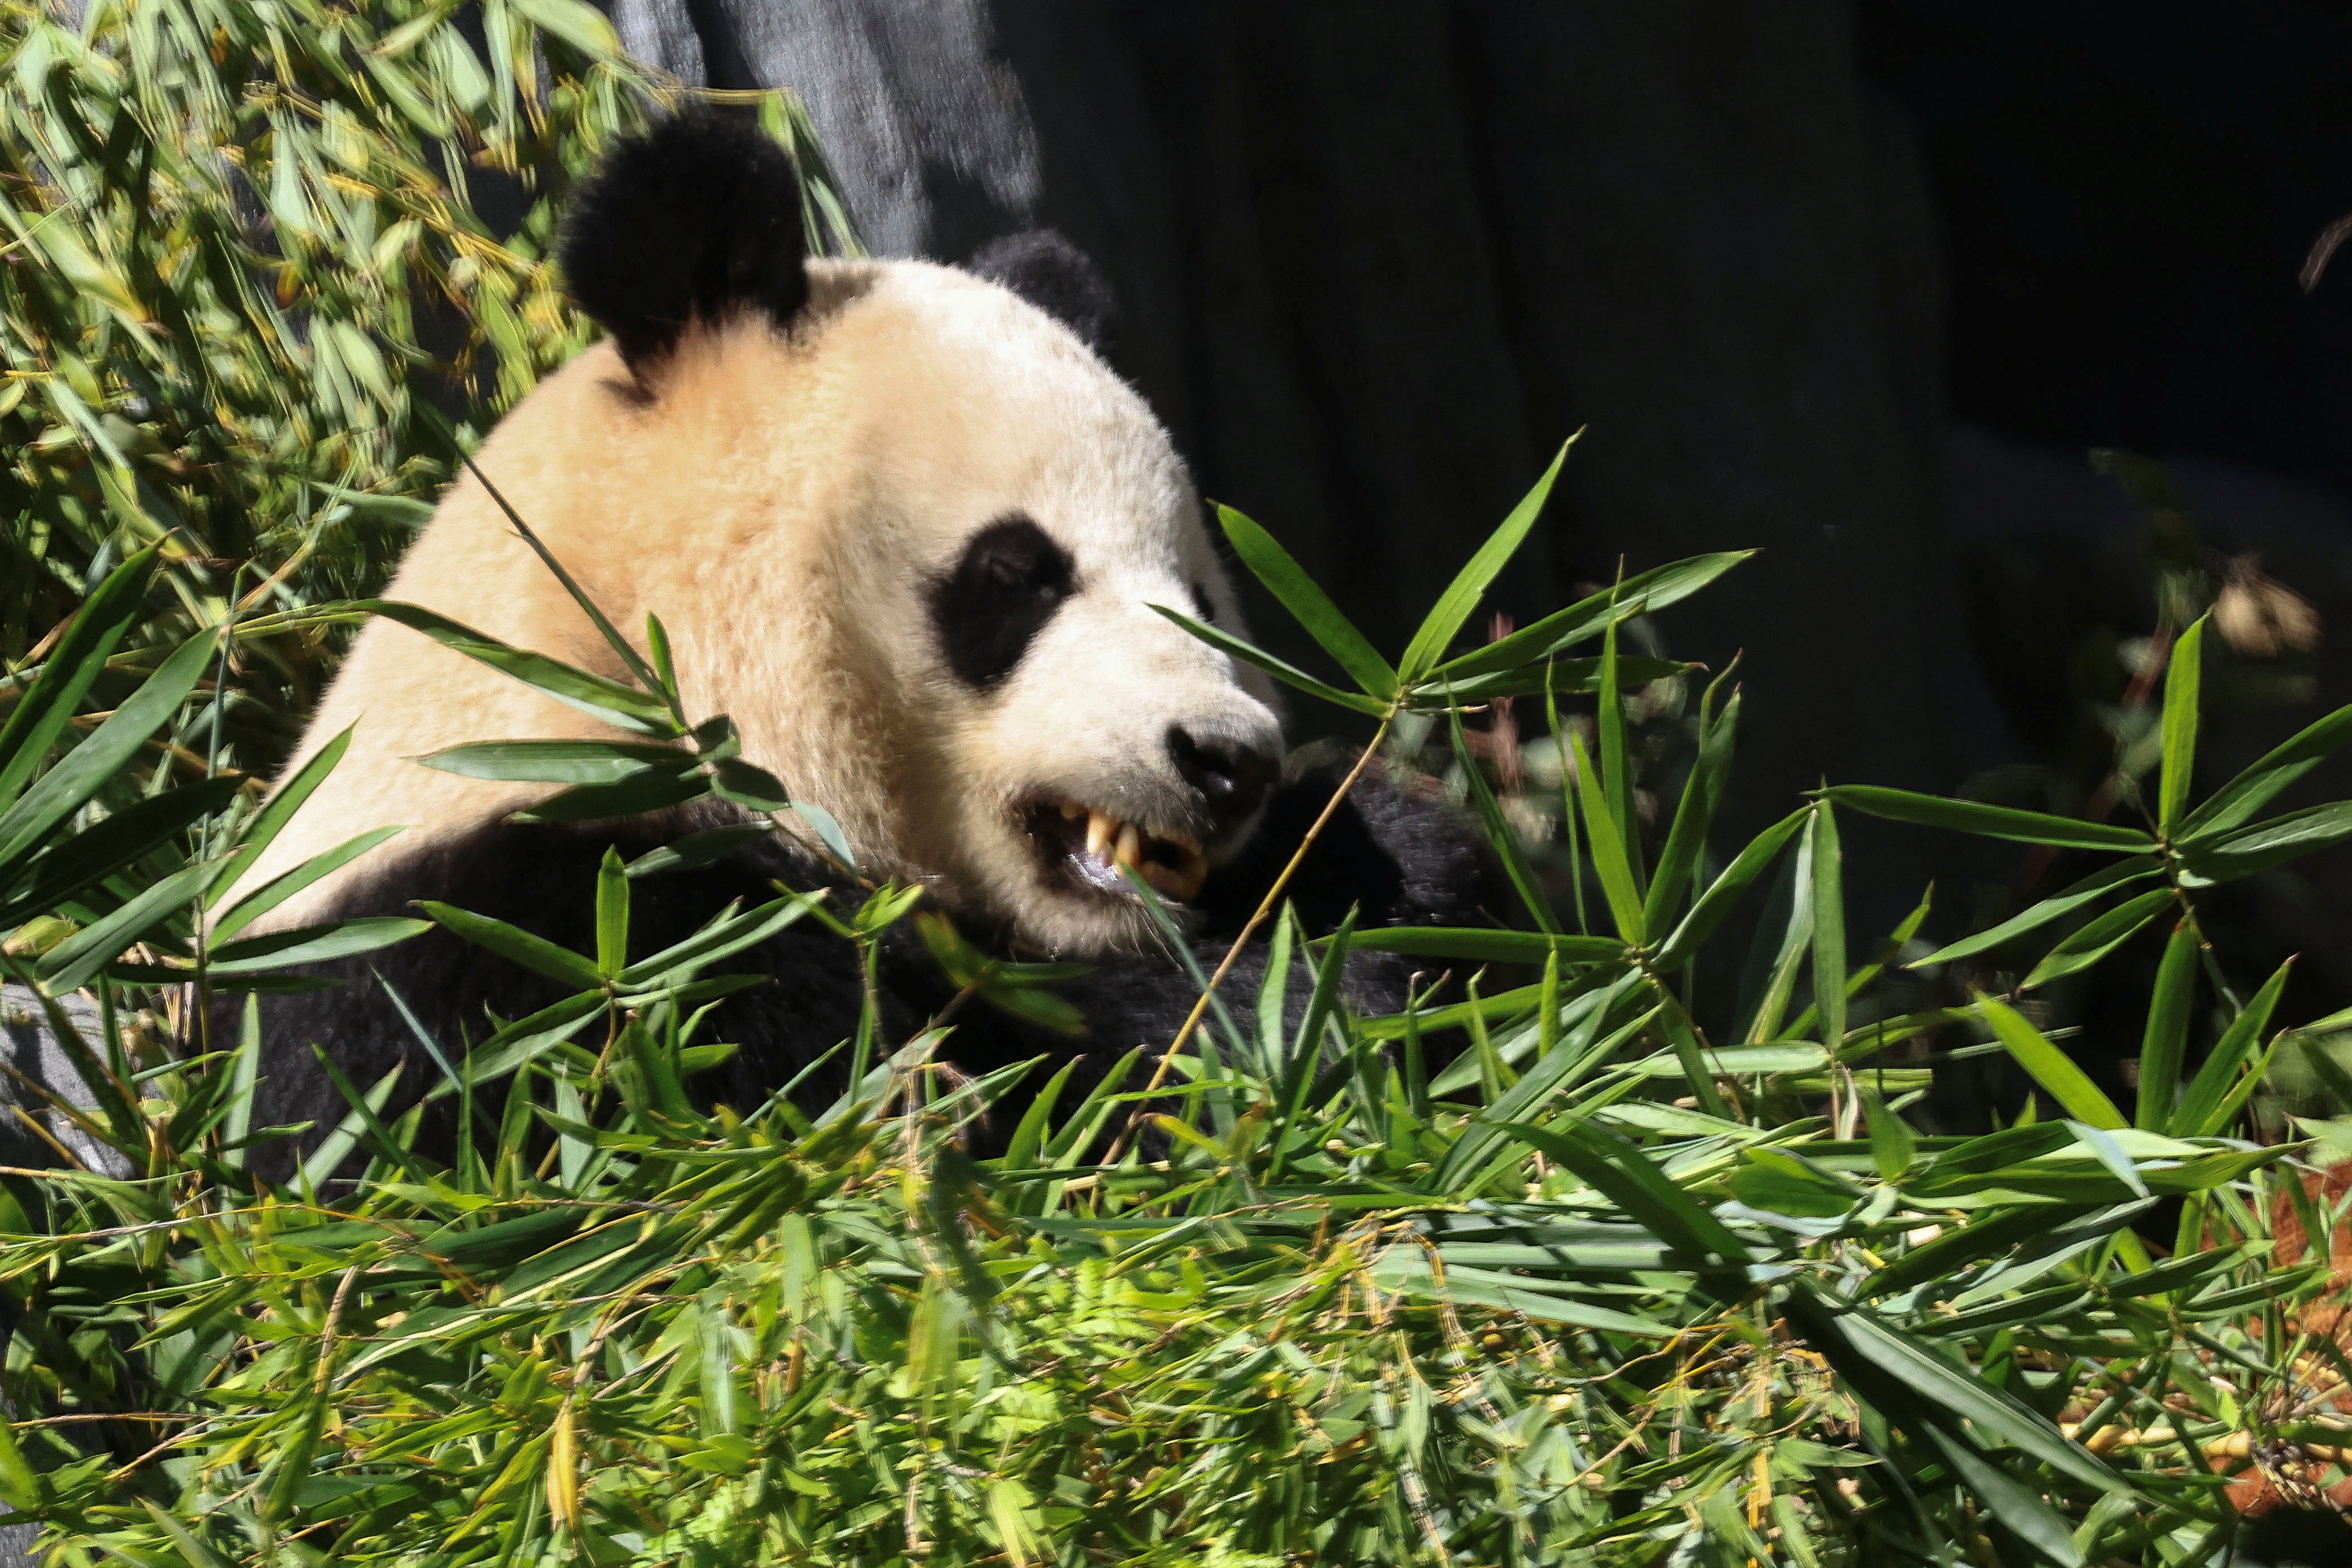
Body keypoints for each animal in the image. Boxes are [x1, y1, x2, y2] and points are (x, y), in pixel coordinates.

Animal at [234, 104, 1486, 1147]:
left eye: (1203, 597)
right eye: (1015, 575)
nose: (1226, 761)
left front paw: (1389, 870)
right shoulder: (526, 948)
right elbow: (920, 1100)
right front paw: (1289, 1014)